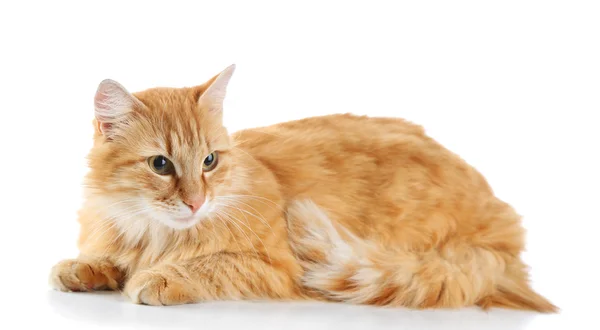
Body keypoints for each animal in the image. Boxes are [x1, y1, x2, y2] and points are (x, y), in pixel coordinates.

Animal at [48, 63, 556, 312]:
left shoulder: (275, 266)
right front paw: (82, 268)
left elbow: (208, 265)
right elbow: (101, 259)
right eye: (160, 164)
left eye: (210, 161)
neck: (153, 233)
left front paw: (158, 277)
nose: (196, 201)